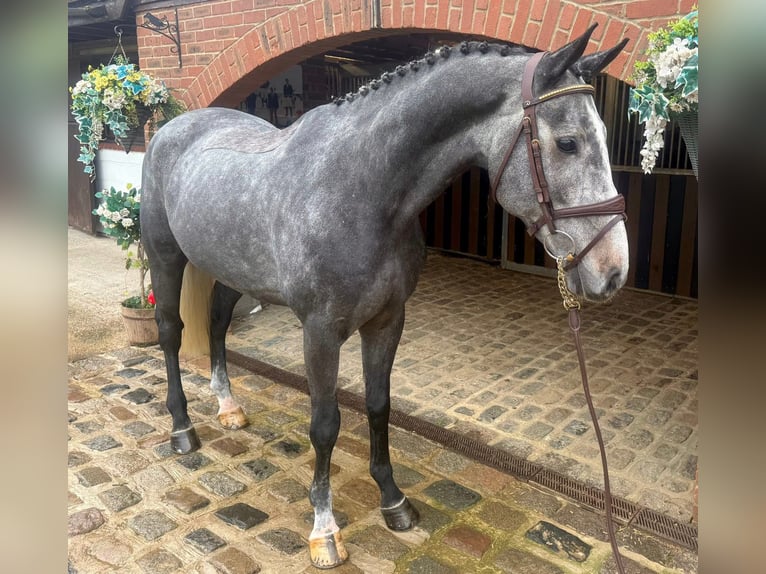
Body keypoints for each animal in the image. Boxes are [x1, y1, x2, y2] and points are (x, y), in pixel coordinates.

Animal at [141, 25, 629, 569]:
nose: (613, 270)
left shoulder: (388, 319)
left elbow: (379, 406)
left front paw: (393, 501)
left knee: (218, 323)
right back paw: (182, 428)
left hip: (229, 268)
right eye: (568, 143)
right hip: (165, 257)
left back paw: (228, 406)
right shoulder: (320, 332)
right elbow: (325, 423)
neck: (362, 189)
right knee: (170, 333)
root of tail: (175, 125)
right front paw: (324, 530)